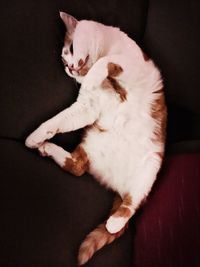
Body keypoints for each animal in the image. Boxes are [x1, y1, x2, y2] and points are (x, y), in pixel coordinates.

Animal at [25, 12, 168, 266]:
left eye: (71, 49)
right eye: (64, 64)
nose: (72, 68)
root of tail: (115, 186)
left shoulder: (133, 64)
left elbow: (107, 61)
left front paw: (94, 74)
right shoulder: (87, 108)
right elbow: (57, 121)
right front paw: (36, 136)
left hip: (150, 166)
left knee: (131, 205)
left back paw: (114, 223)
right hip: (90, 150)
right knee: (76, 167)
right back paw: (44, 147)